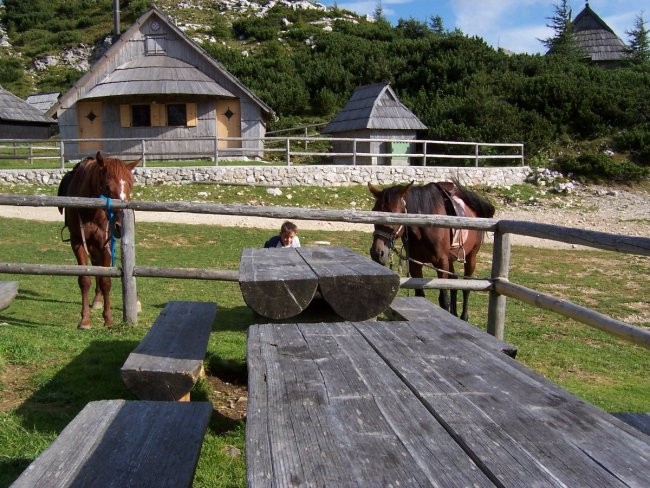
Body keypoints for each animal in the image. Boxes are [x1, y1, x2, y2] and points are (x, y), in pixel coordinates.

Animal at [58, 151, 139, 330]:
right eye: (107, 187)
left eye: (130, 185)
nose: (119, 226)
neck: (90, 211)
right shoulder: (78, 242)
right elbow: (85, 279)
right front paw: (85, 320)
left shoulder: (105, 242)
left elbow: (105, 280)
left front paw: (108, 320)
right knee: (95, 266)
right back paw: (96, 300)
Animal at [368, 179, 494, 320]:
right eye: (374, 211)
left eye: (393, 214)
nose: (377, 252)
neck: (423, 228)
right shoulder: (415, 264)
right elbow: (420, 294)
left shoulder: (441, 262)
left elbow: (444, 299)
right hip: (450, 259)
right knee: (454, 281)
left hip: (471, 256)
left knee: (466, 286)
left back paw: (463, 317)